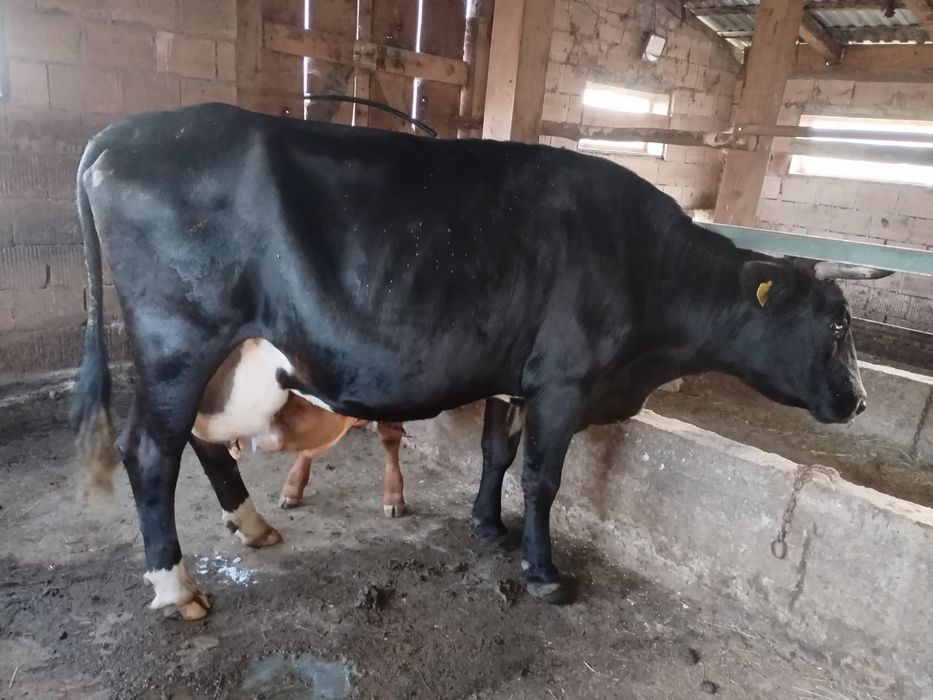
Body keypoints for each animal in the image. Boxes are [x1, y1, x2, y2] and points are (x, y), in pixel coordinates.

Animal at [72, 103, 877, 620]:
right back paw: (177, 589)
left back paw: (254, 525)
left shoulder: (513, 374)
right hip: (179, 340)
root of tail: (124, 130)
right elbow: (543, 477)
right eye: (837, 322)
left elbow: (496, 452)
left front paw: (487, 527)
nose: (859, 401)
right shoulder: (563, 380)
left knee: (202, 440)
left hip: (224, 358)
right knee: (152, 451)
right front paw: (544, 572)